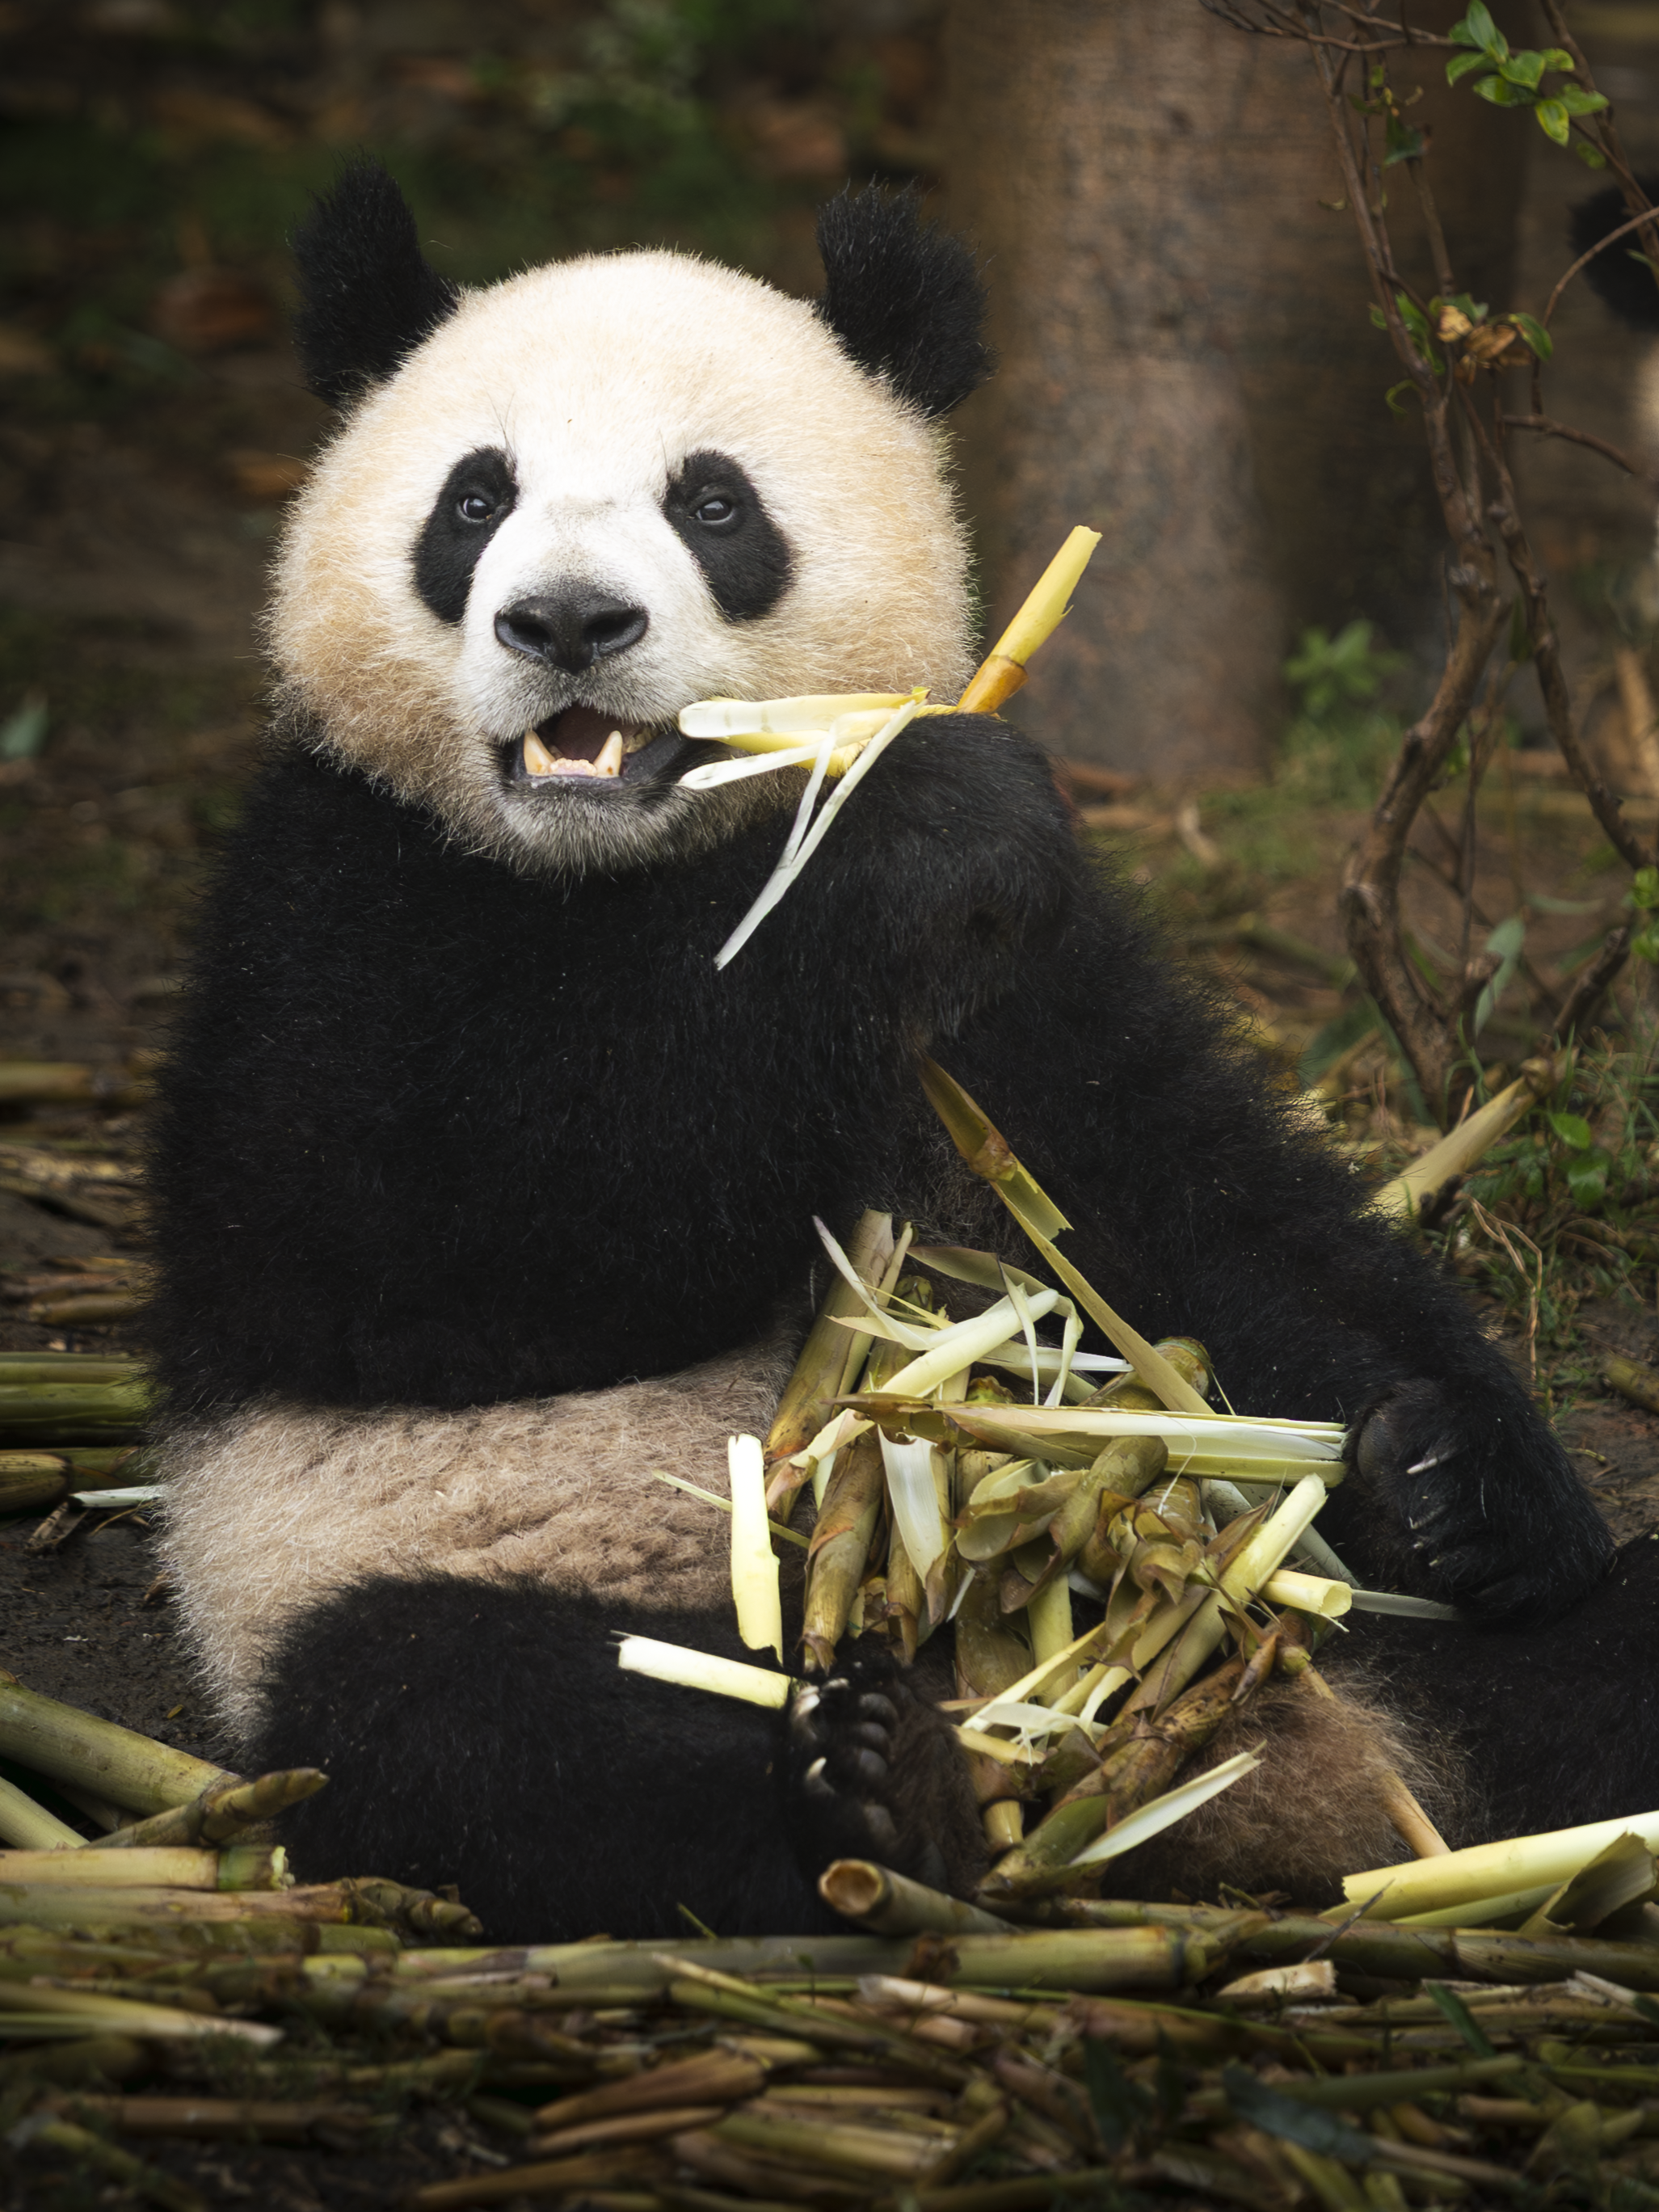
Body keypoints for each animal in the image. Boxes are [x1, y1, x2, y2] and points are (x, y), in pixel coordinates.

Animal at [145, 164, 1657, 1943]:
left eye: (713, 505)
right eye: (471, 501)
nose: (567, 621)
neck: (631, 863)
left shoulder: (1031, 983)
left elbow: (1183, 1208)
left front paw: (1456, 1471)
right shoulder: (333, 891)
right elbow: (418, 1253)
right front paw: (905, 822)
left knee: (1595, 1650)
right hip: (419, 1570)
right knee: (490, 1724)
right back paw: (890, 1789)